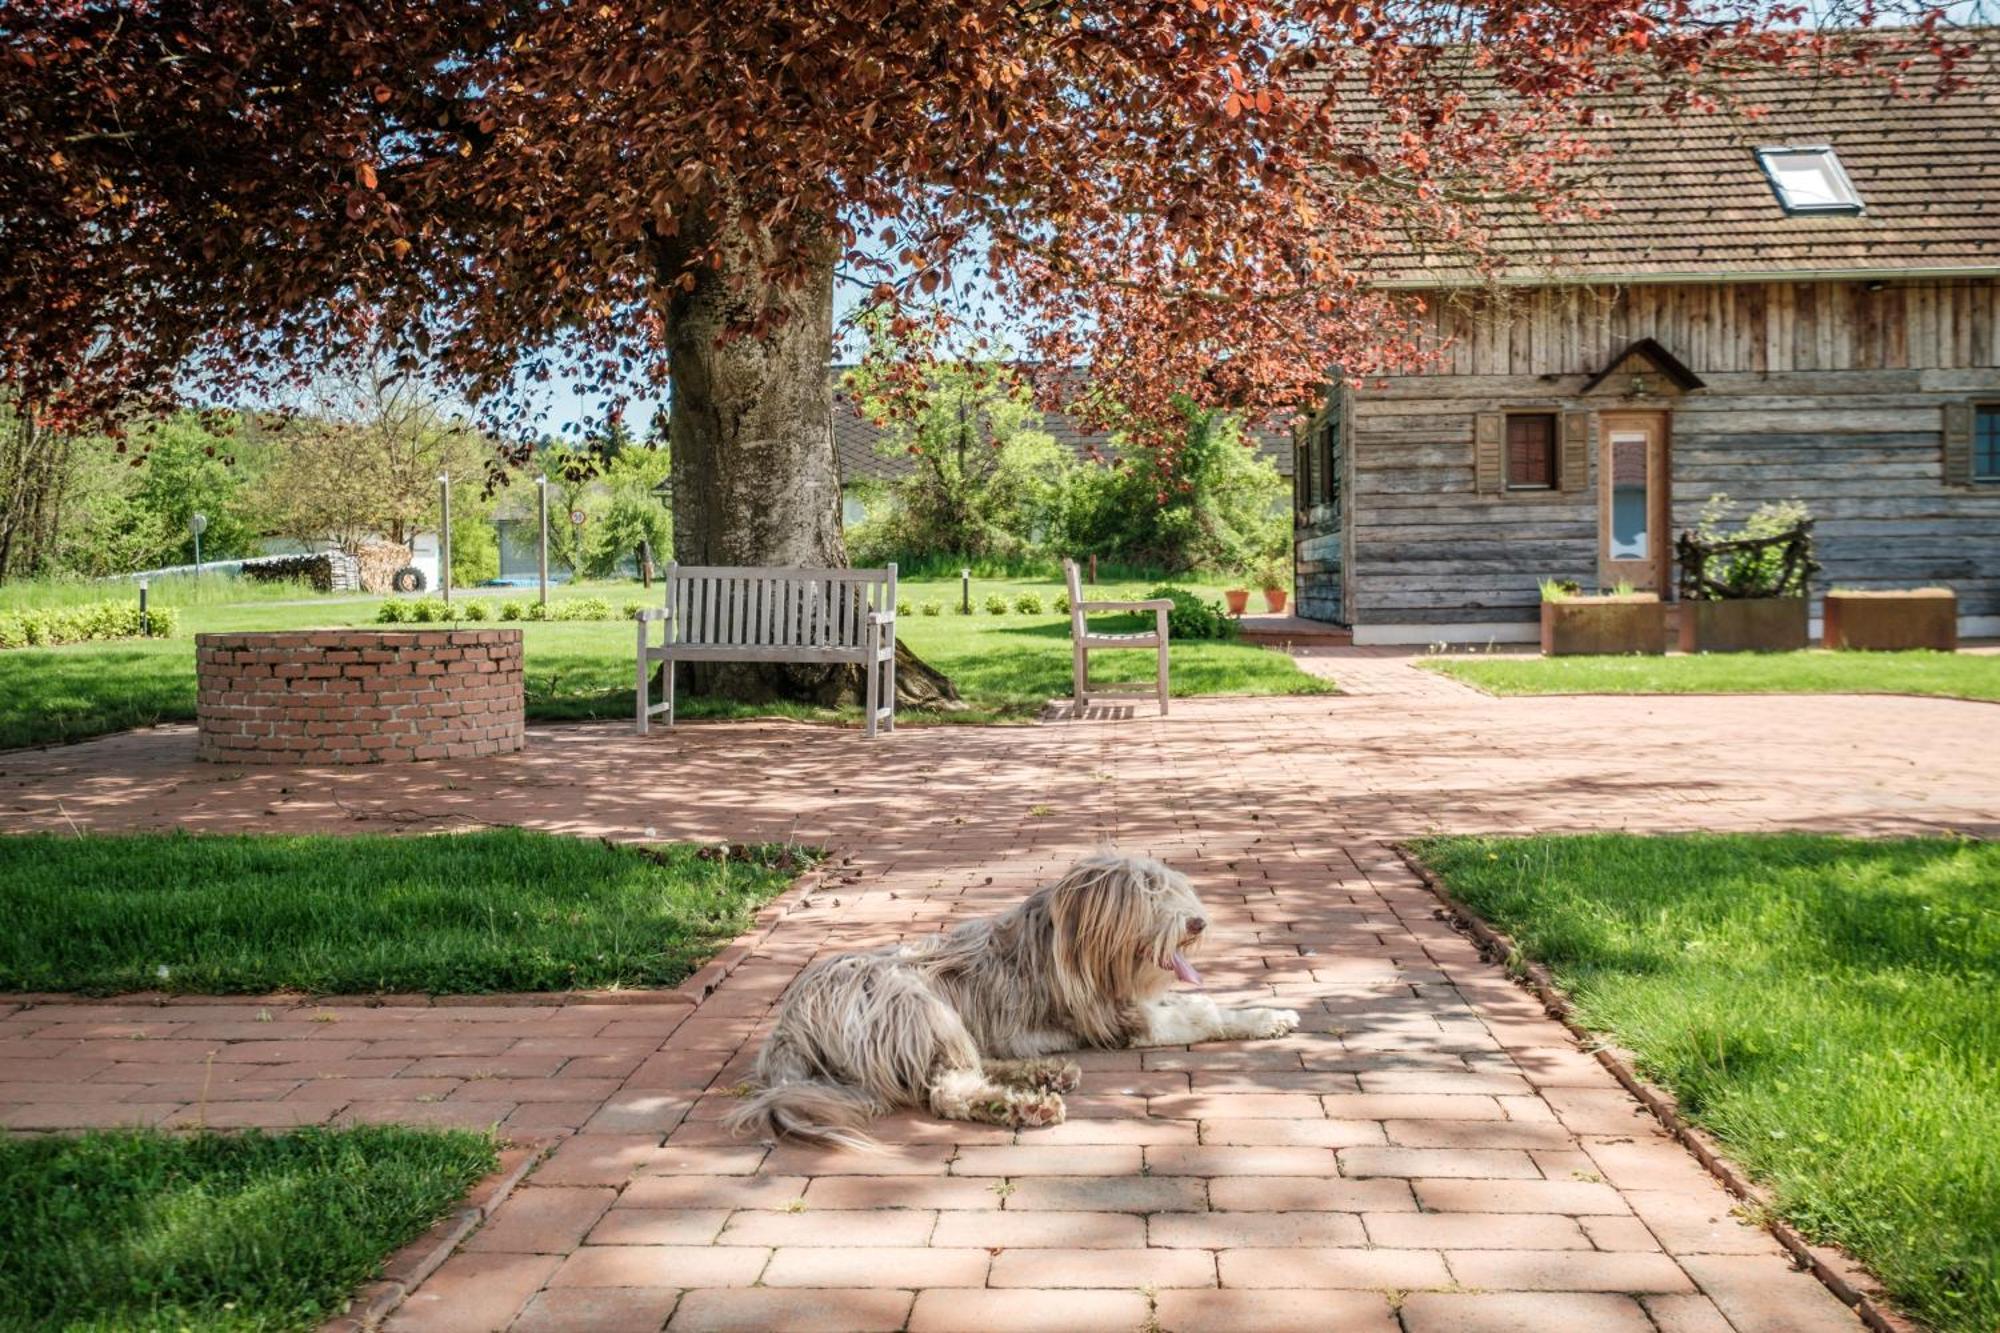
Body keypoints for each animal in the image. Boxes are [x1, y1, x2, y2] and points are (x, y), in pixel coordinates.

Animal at [728, 852, 1304, 1144]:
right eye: (1148, 895)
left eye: (1173, 887)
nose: (1198, 923)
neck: (1075, 939)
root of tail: (789, 1024)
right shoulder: (1125, 1019)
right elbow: (1205, 1013)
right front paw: (1265, 1016)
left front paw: (1268, 1011)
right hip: (916, 1005)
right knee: (947, 1091)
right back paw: (1021, 1106)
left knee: (967, 1067)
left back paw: (1046, 1074)